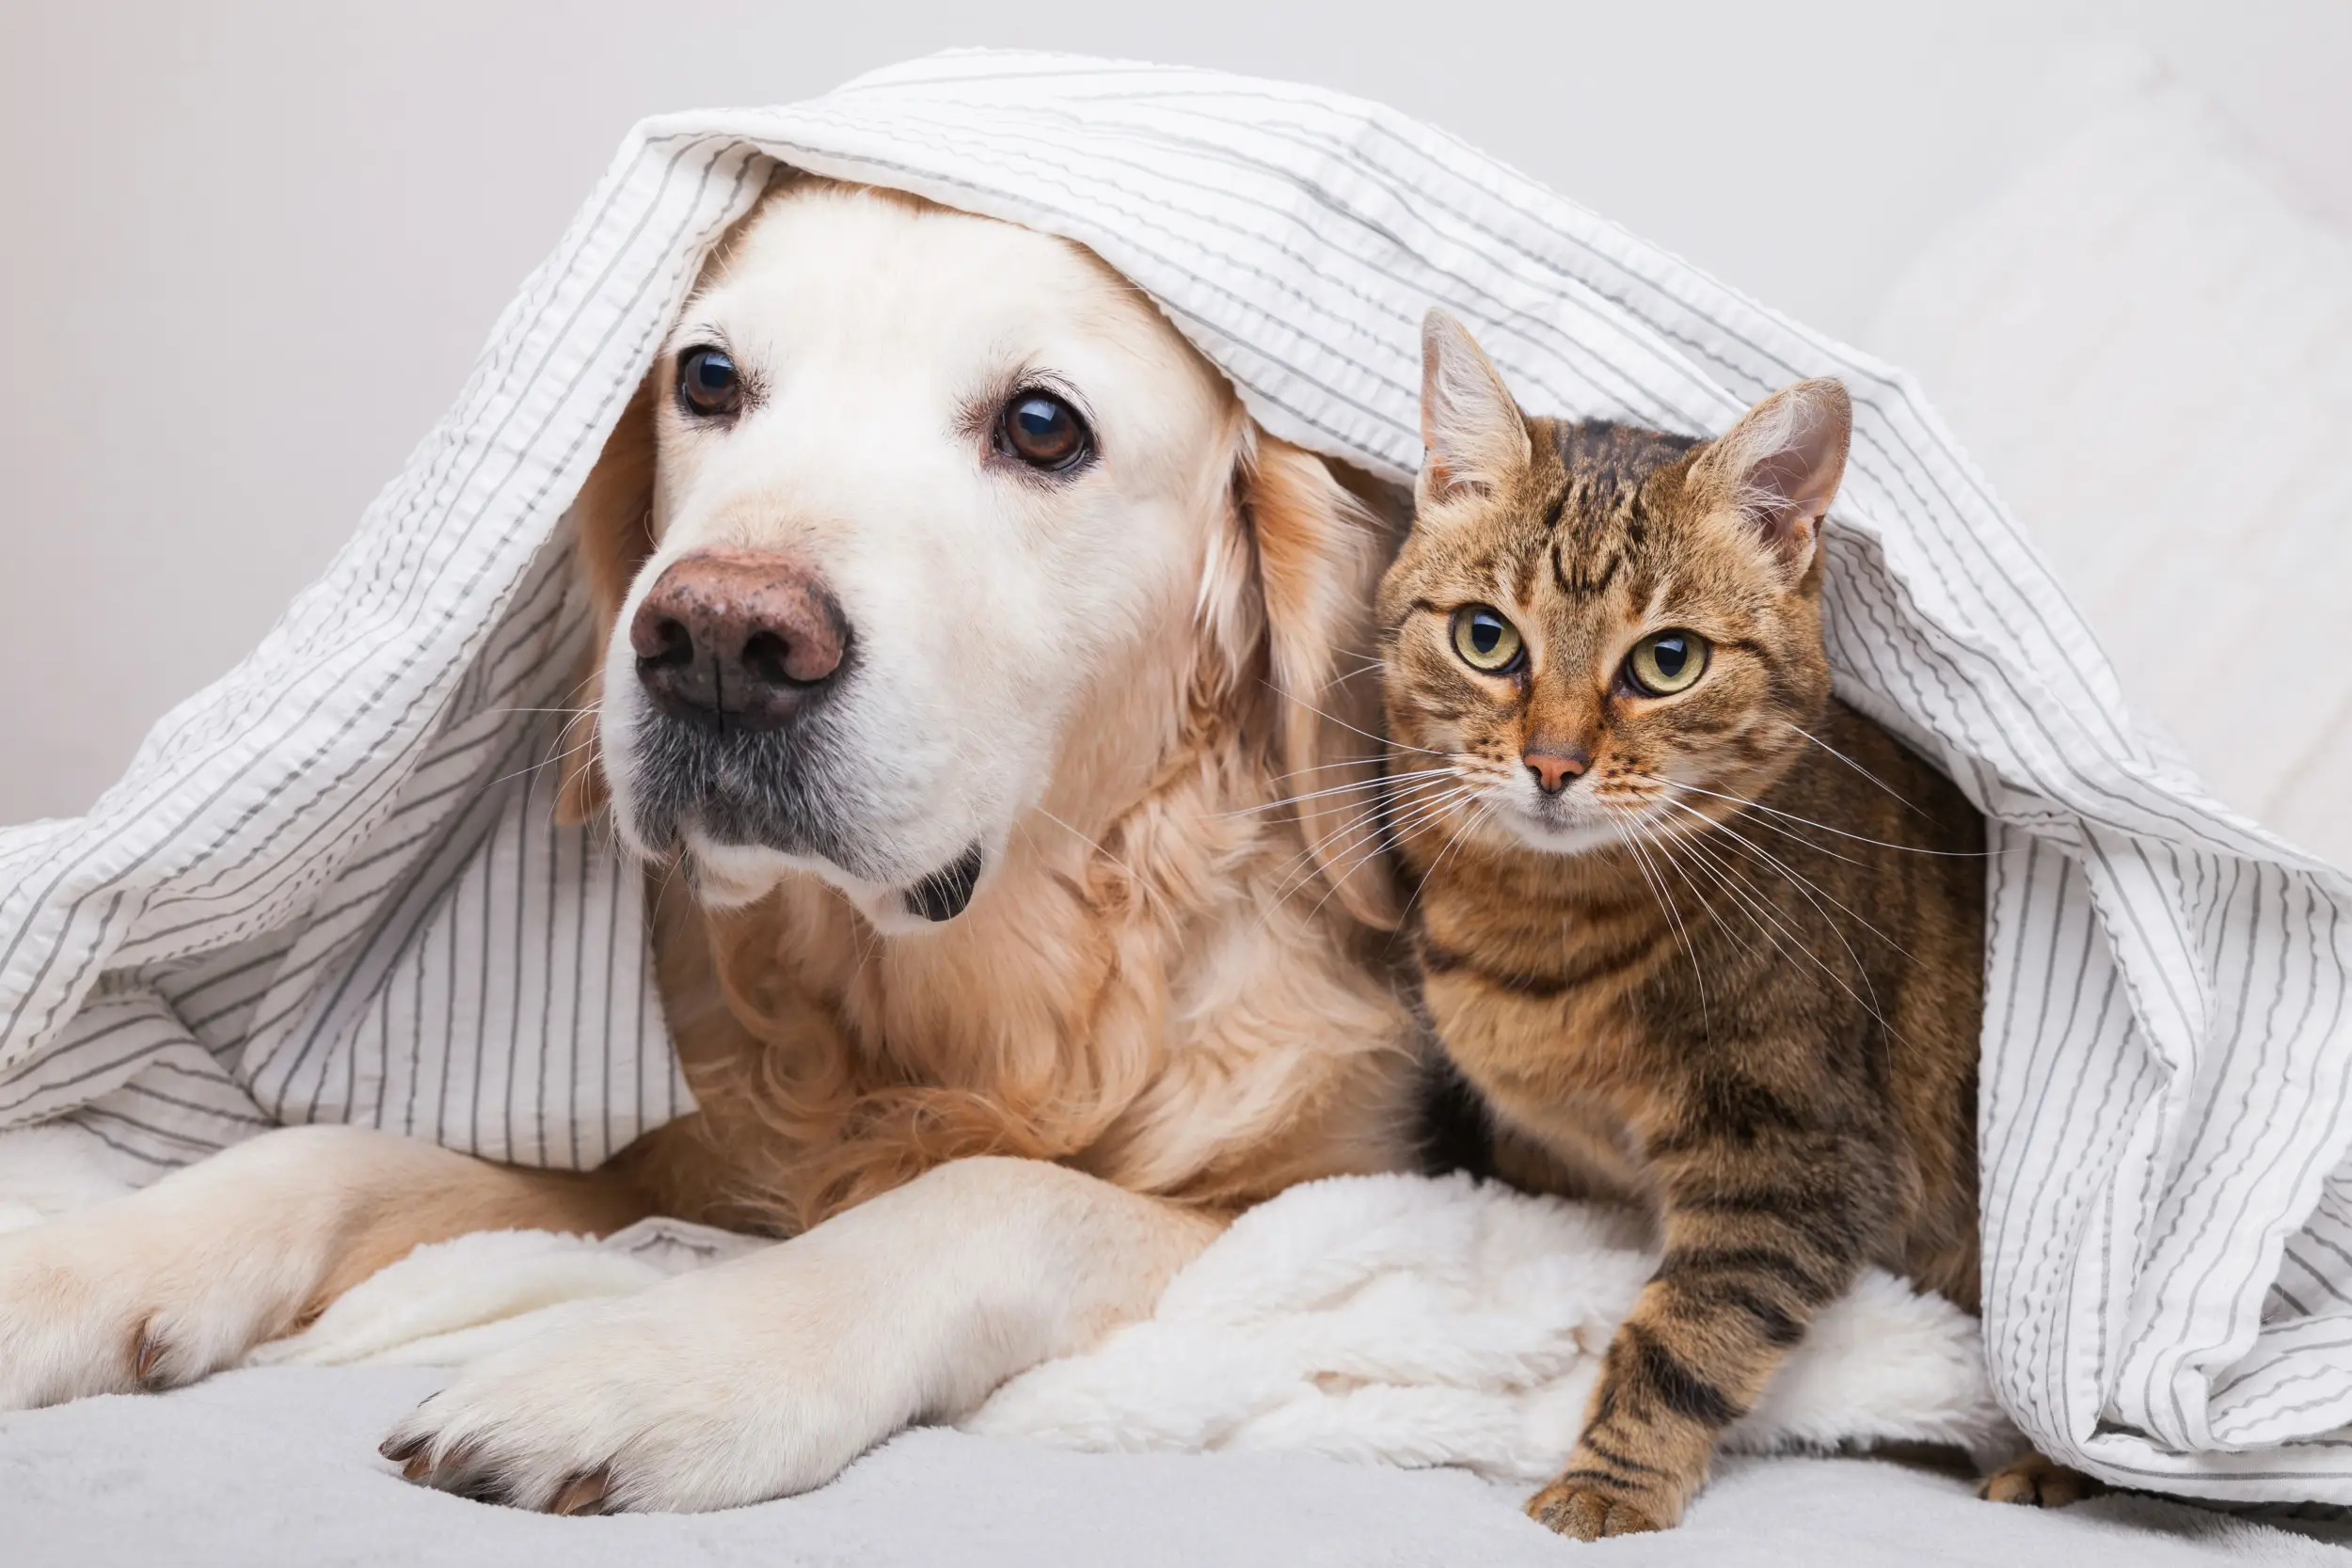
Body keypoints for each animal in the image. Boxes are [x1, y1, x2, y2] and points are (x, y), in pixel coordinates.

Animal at [0, 177, 1421, 1513]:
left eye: (1041, 425)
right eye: (708, 378)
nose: (723, 642)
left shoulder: (1337, 1194)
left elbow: (995, 1193)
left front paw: (661, 1362)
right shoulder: (660, 1156)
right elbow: (326, 1151)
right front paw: (75, 1267)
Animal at [1374, 312, 2079, 1542]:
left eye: (1668, 660)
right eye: (1485, 637)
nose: (1550, 762)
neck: (1542, 930)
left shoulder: (1794, 1155)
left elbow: (1683, 1335)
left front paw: (1609, 1484)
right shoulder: (1553, 1160)